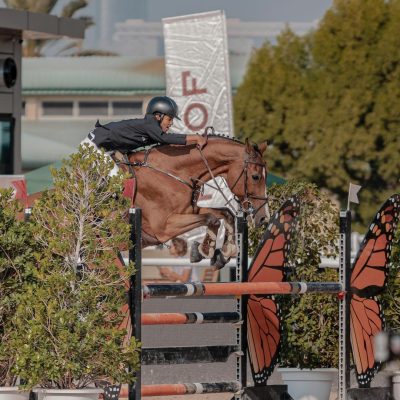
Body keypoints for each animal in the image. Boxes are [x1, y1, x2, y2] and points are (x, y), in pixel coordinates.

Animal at [120, 134, 268, 268]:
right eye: (255, 177)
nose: (264, 218)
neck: (171, 174)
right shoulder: (164, 227)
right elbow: (211, 218)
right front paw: (205, 250)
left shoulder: (191, 209)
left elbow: (226, 215)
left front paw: (223, 253)